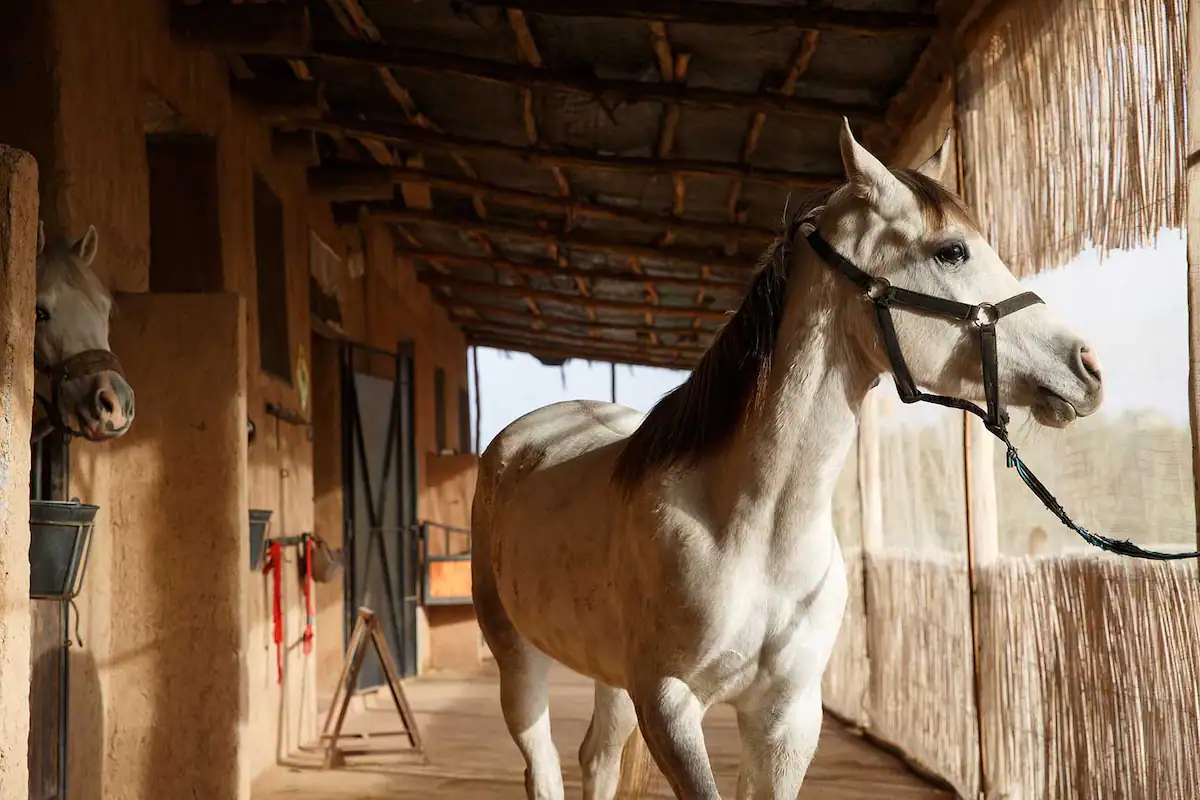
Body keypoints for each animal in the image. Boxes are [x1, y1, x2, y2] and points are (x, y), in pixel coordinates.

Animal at [471, 120, 1104, 799]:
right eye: (952, 251)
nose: (1087, 366)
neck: (753, 527)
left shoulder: (786, 715)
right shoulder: (669, 706)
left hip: (610, 674)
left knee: (597, 757)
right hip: (518, 657)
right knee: (541, 759)